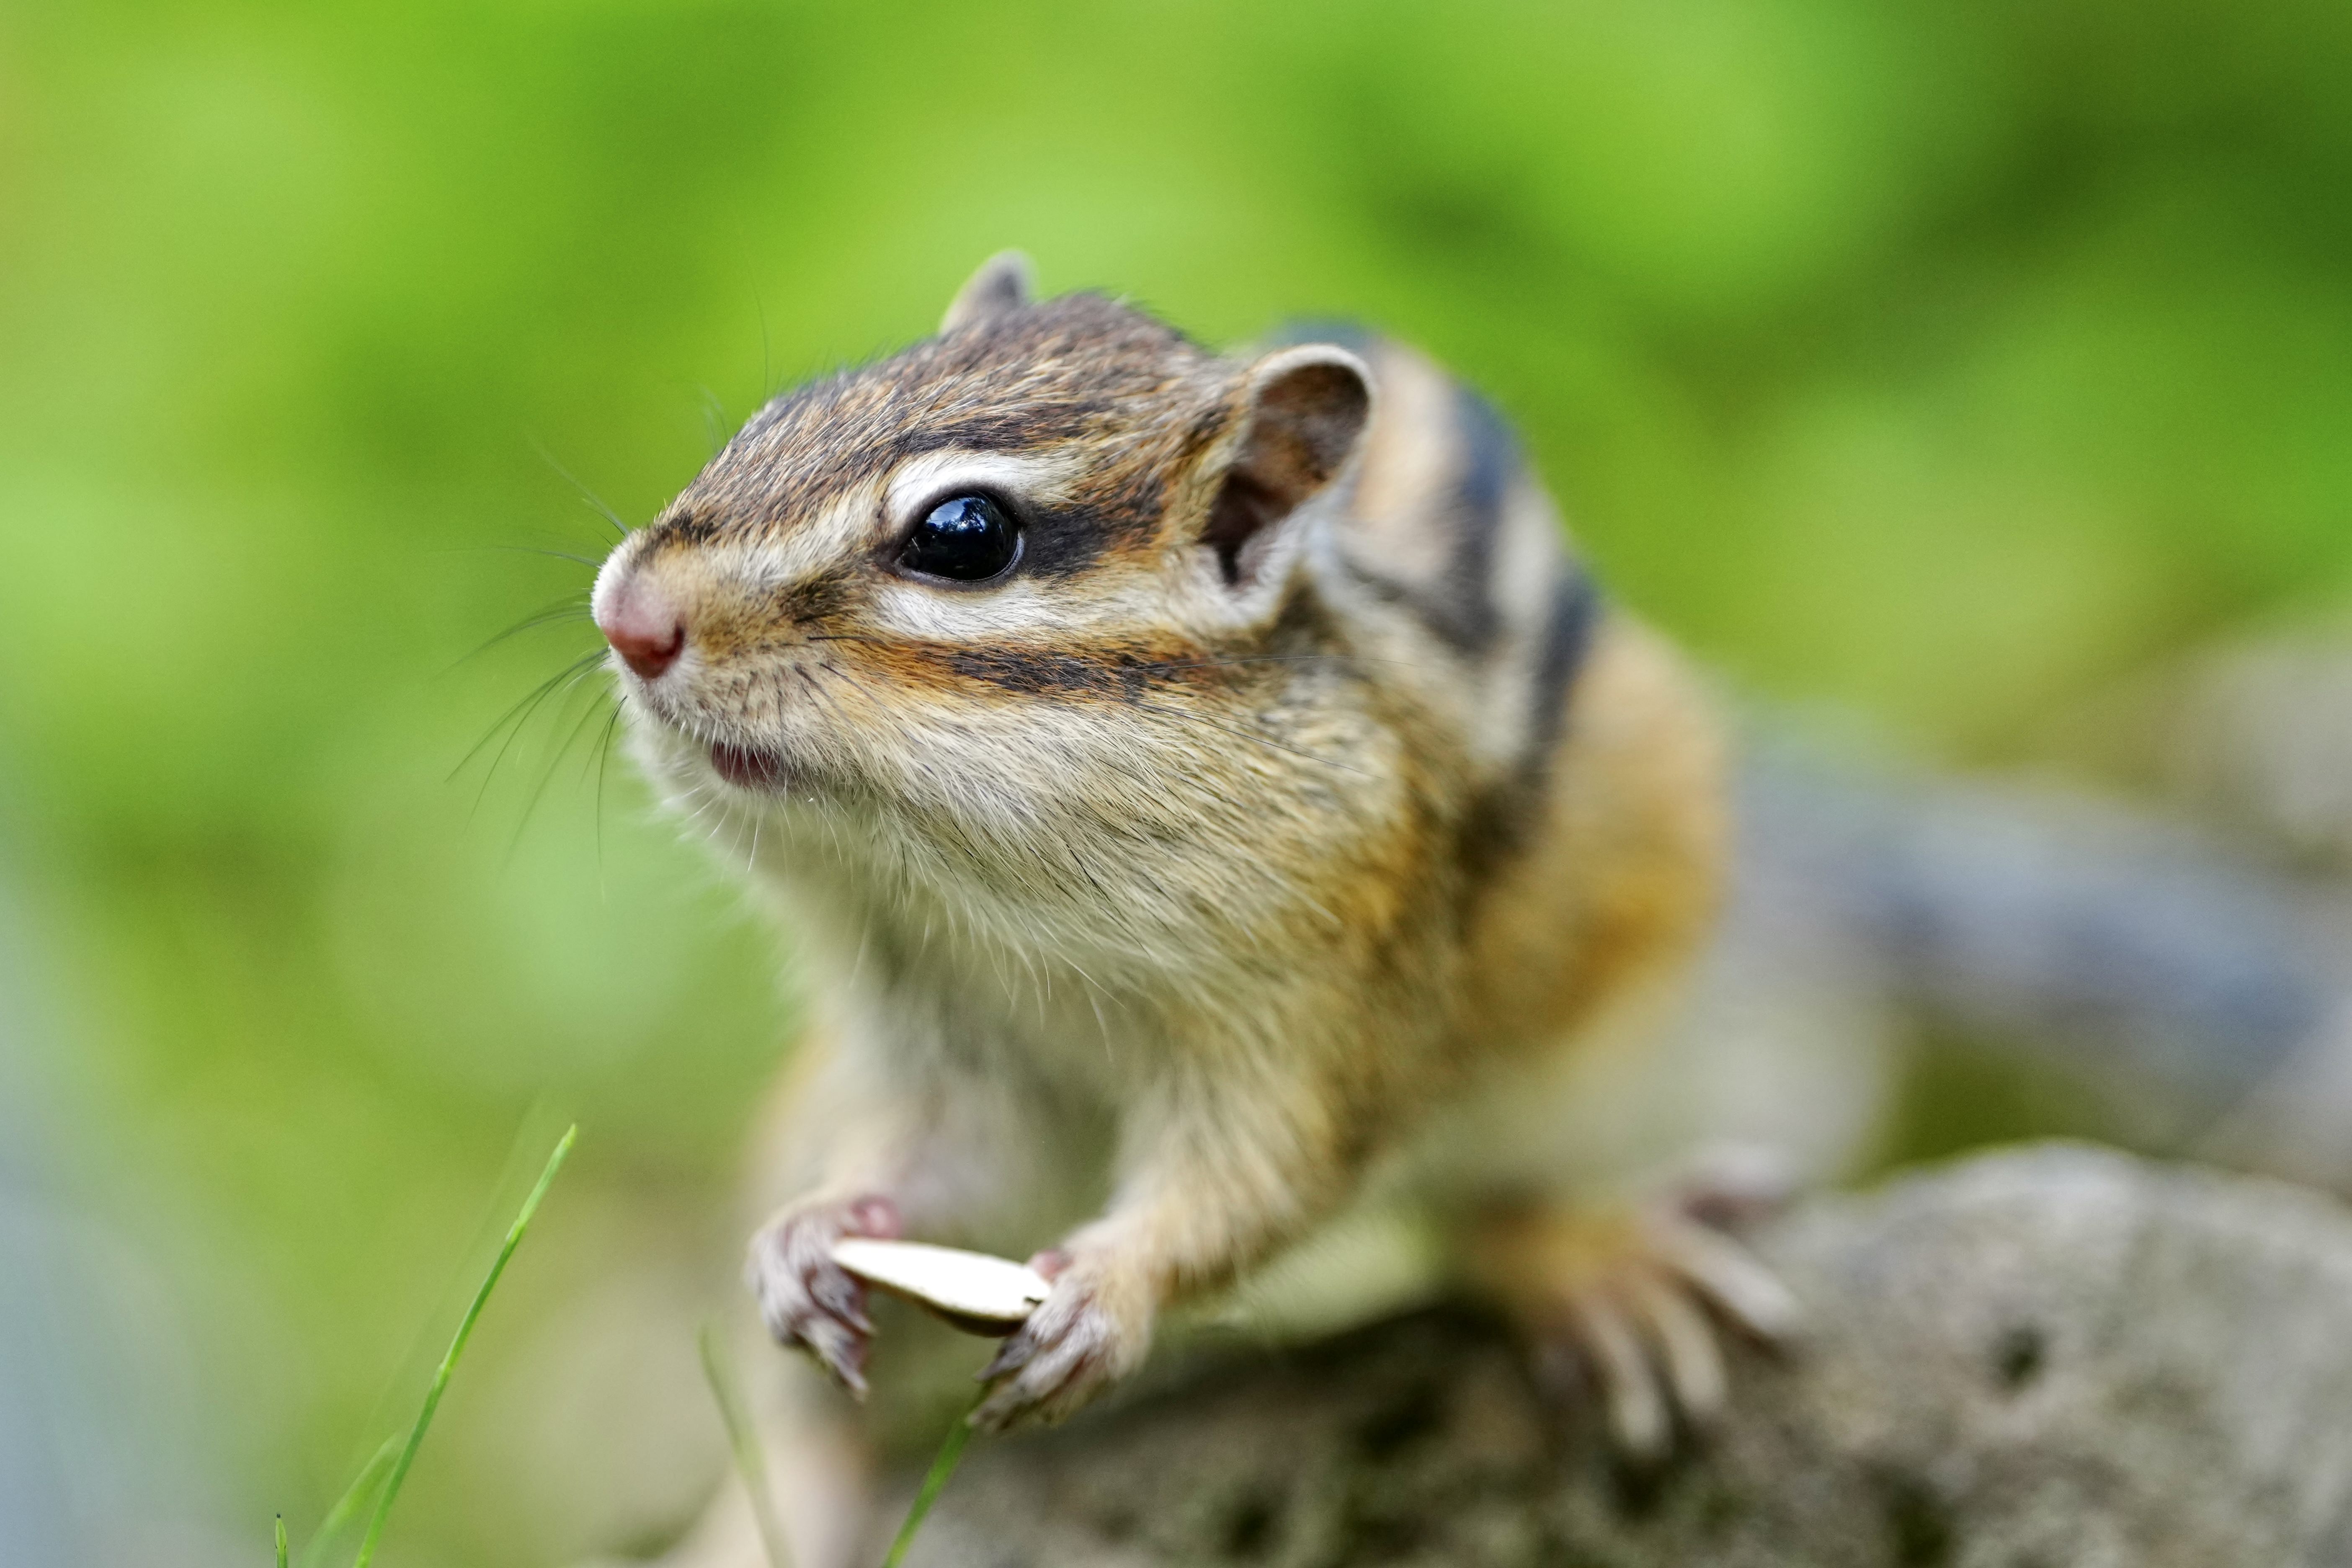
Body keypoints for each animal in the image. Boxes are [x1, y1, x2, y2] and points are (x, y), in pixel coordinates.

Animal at [590, 254, 1794, 1567]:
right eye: (773, 419)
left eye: (965, 535)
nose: (627, 613)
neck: (994, 895)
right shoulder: (950, 1050)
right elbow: (932, 1164)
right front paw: (810, 1235)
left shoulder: (1322, 1010)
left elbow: (1263, 1176)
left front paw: (1111, 1292)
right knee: (816, 1426)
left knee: (1496, 1207)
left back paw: (1597, 1267)